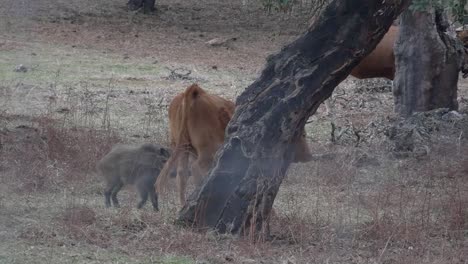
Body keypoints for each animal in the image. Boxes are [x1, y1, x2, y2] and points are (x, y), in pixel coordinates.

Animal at [155, 83, 312, 205]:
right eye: (303, 135)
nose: (309, 156)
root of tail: (195, 92)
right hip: (206, 151)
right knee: (196, 168)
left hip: (181, 146)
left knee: (181, 173)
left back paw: (182, 204)